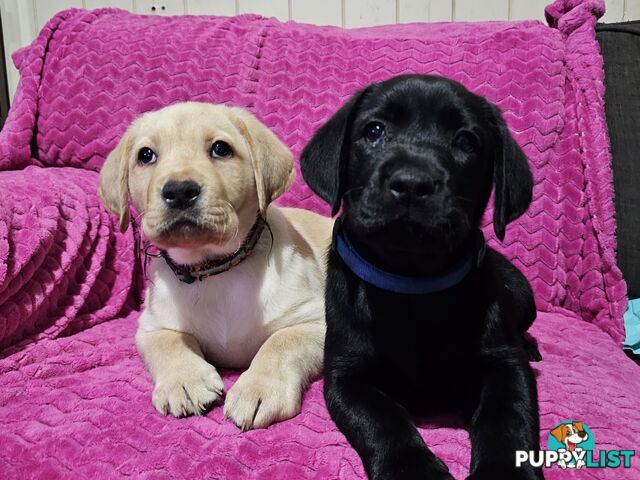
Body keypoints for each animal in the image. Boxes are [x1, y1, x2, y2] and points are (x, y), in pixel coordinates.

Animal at [99, 100, 332, 428]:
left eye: (221, 149)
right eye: (146, 155)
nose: (179, 191)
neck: (215, 268)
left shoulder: (314, 321)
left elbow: (280, 344)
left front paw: (258, 388)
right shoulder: (151, 326)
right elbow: (171, 342)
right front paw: (185, 380)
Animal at [302, 73, 544, 478]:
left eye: (466, 141)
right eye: (374, 130)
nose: (413, 183)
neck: (412, 284)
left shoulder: (505, 366)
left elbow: (508, 415)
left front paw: (505, 472)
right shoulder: (346, 375)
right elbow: (381, 418)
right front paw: (413, 469)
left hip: (523, 295)